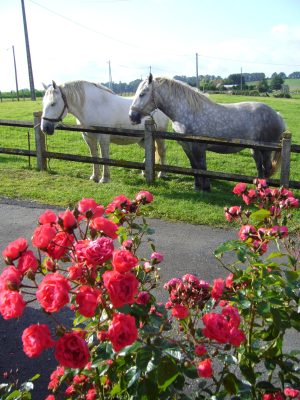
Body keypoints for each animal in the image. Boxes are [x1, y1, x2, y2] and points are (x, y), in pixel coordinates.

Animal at [41, 81, 170, 183]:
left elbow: (104, 157)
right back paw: (145, 172)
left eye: (53, 104)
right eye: (43, 103)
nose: (45, 128)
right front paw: (94, 177)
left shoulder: (103, 138)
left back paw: (162, 174)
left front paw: (105, 178)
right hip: (142, 139)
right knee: (152, 150)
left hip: (159, 136)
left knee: (161, 151)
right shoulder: (88, 138)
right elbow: (93, 156)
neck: (93, 106)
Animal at [127, 75, 284, 192]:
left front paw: (206, 187)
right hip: (255, 149)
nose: (132, 117)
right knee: (260, 167)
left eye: (142, 94)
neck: (188, 112)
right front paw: (197, 186)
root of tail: (277, 115)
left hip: (266, 150)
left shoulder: (199, 147)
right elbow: (194, 167)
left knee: (266, 167)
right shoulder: (187, 147)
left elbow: (202, 167)